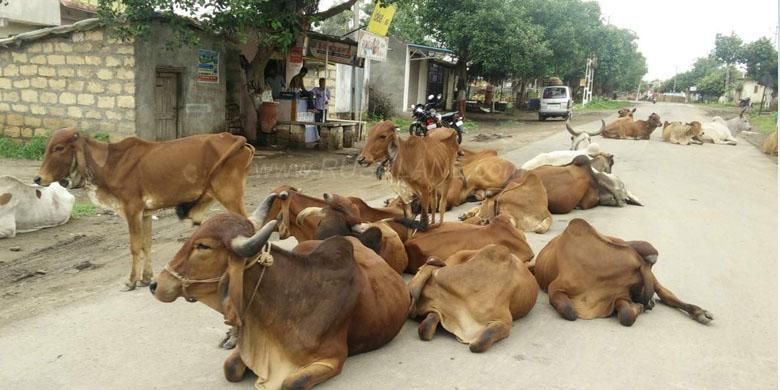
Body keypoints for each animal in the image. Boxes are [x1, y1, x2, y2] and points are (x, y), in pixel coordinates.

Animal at [35, 128, 254, 290]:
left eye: (59, 147)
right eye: (47, 147)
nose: (37, 178)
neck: (110, 165)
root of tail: (235, 138)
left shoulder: (132, 209)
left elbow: (134, 246)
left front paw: (131, 281)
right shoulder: (146, 213)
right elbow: (146, 245)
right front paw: (146, 278)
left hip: (229, 195)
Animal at [536, 219, 712, 326]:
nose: (649, 304)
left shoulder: (620, 296)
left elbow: (627, 316)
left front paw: (640, 307)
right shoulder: (555, 288)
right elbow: (570, 311)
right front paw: (640, 307)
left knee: (667, 295)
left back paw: (699, 312)